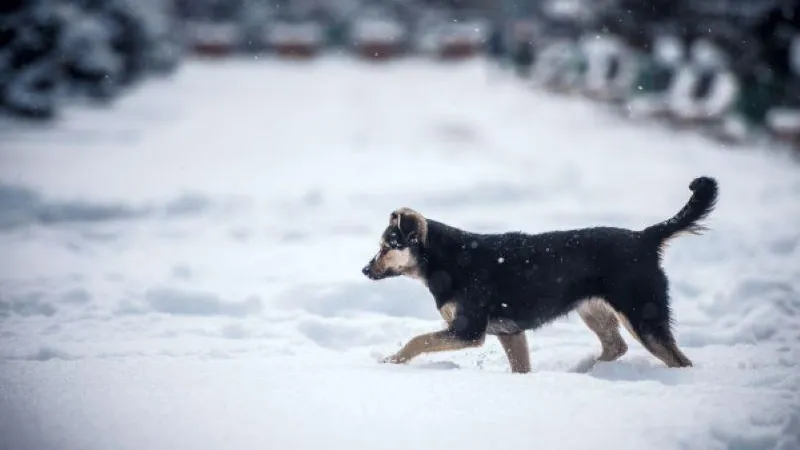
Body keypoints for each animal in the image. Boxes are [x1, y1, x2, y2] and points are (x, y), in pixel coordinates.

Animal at [360, 176, 720, 372]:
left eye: (387, 246)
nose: (364, 269)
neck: (444, 260)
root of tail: (644, 237)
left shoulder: (468, 330)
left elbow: (416, 340)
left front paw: (390, 362)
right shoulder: (510, 333)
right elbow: (521, 368)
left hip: (642, 313)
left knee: (677, 359)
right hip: (593, 309)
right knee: (616, 346)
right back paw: (586, 370)